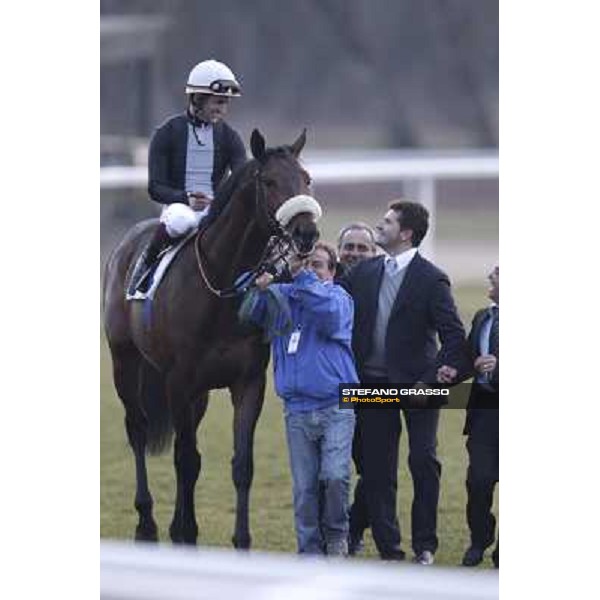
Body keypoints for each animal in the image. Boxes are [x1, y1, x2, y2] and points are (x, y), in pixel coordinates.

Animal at [102, 130, 318, 548]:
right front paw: (184, 532)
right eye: (270, 182)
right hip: (125, 362)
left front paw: (240, 541)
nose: (307, 232)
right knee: (138, 430)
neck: (220, 282)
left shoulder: (247, 382)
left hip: (197, 394)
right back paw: (147, 524)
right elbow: (185, 460)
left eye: (306, 179)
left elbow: (239, 463)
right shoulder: (178, 381)